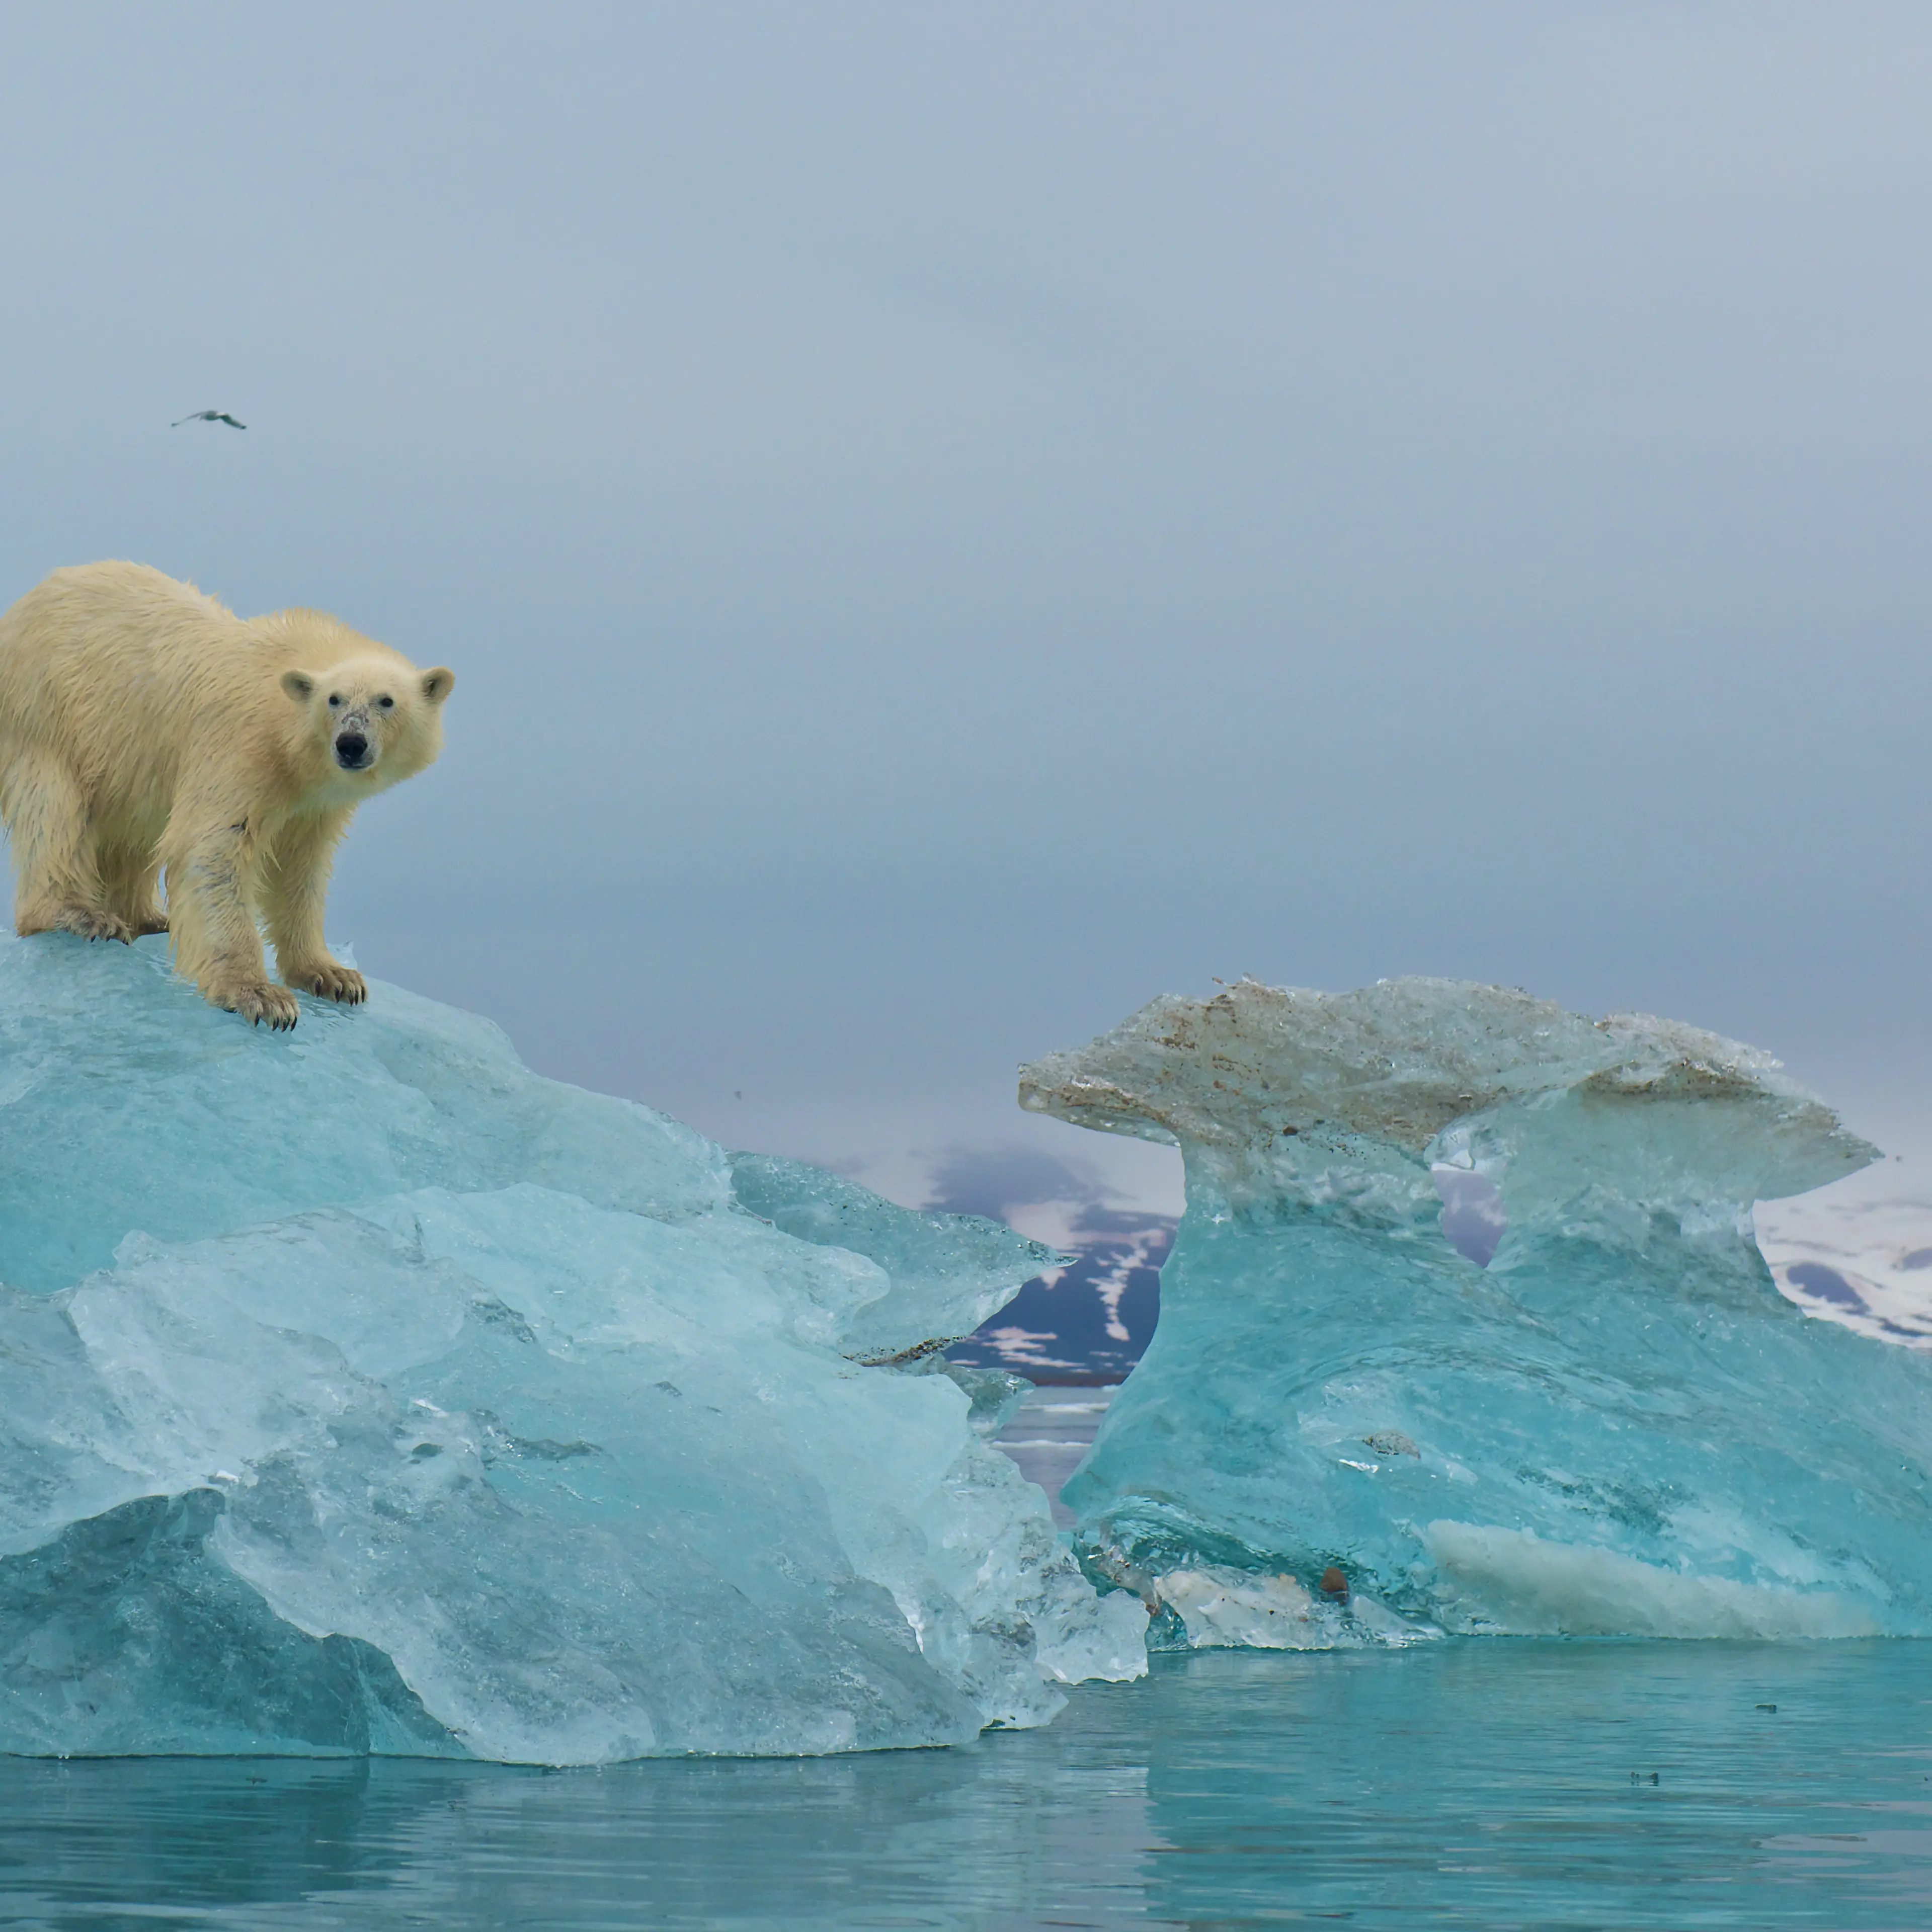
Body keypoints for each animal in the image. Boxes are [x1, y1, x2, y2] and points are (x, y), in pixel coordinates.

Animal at [0, 561, 454, 1028]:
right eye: (335, 699)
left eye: (387, 701)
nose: (351, 744)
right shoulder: (240, 745)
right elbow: (214, 849)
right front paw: (260, 995)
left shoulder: (314, 803)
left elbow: (299, 869)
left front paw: (334, 976)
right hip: (49, 709)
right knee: (53, 806)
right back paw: (82, 915)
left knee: (133, 832)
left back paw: (148, 917)